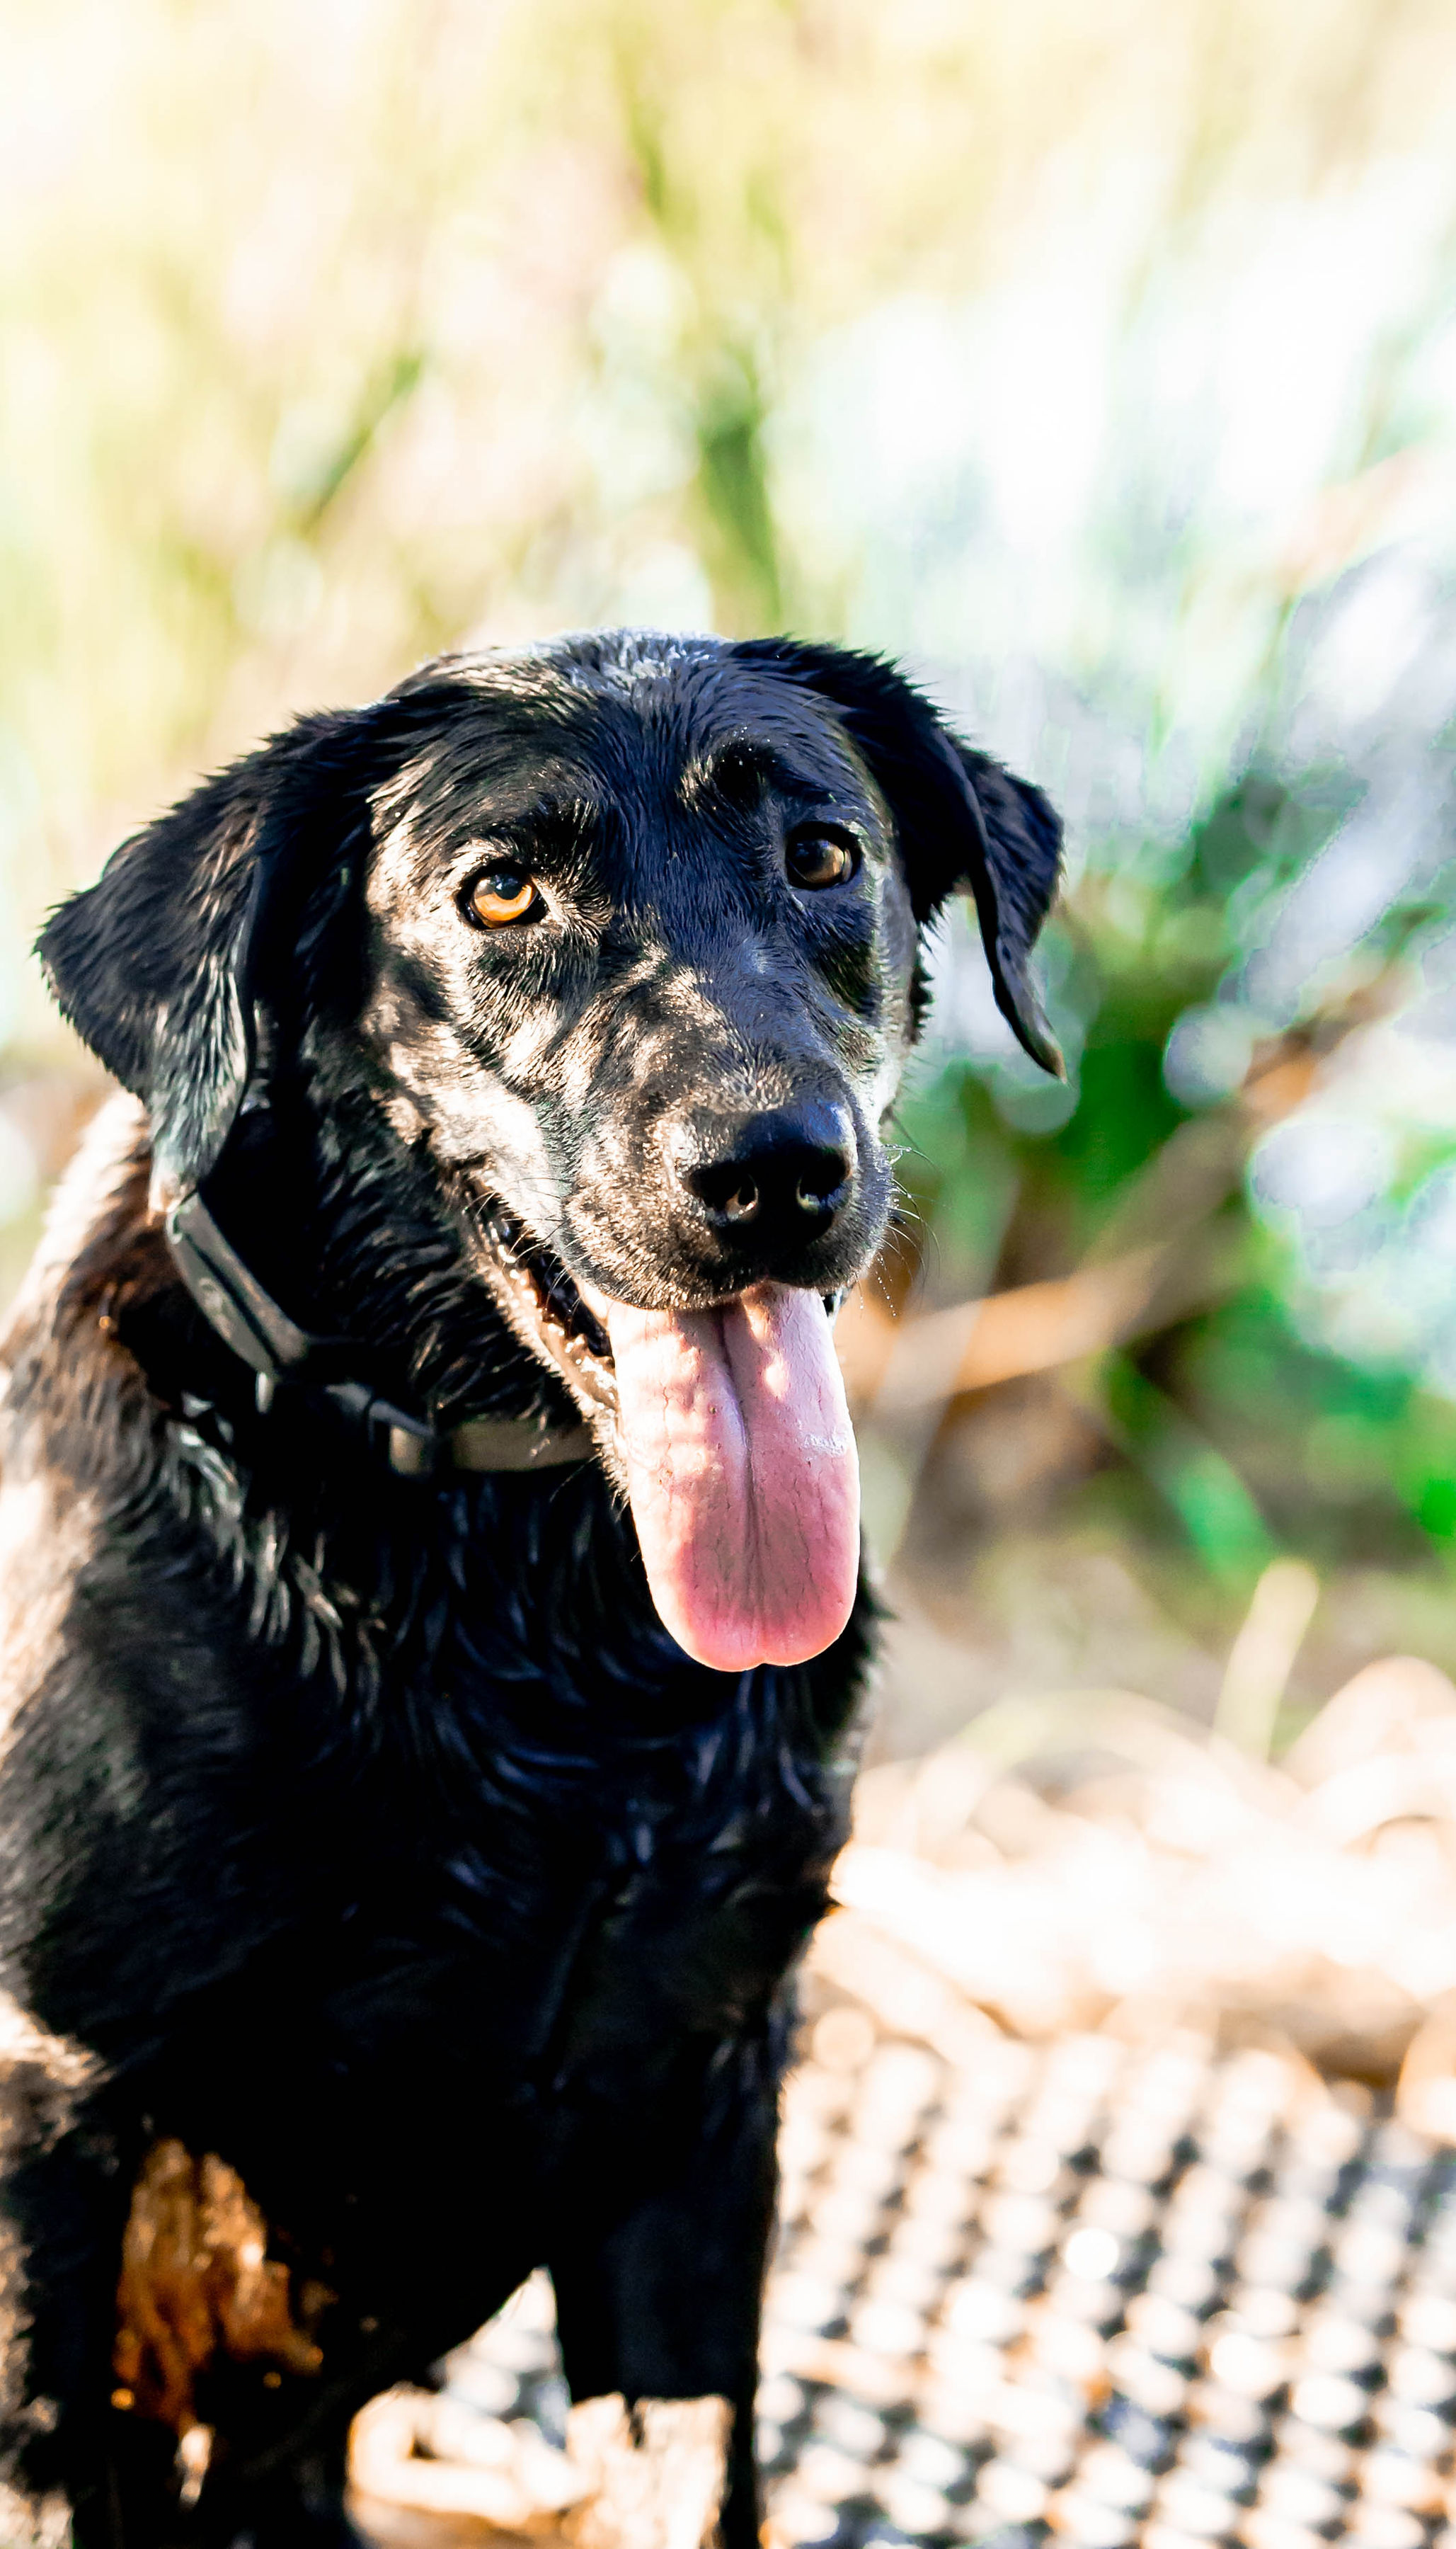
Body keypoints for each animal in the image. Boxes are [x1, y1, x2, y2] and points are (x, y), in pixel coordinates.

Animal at [0, 637, 1060, 2549]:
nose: (773, 1168)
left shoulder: (700, 2094)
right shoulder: (53, 2093)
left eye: (821, 857)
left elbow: (694, 2483)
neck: (529, 1589)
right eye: (502, 894)